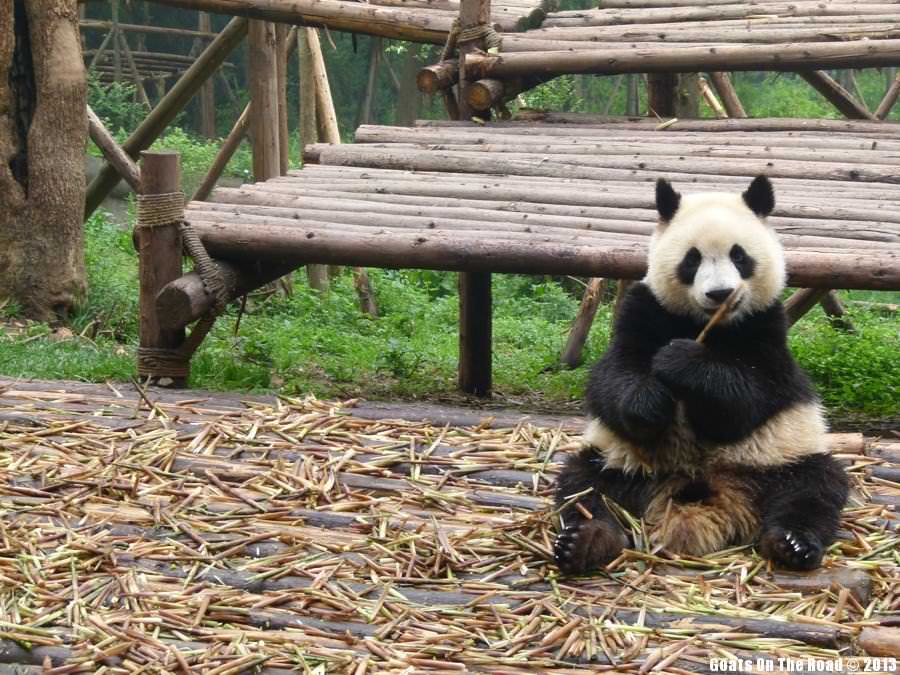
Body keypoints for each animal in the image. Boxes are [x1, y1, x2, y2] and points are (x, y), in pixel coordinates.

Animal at [553, 175, 849, 575]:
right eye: (691, 259)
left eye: (739, 256)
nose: (720, 293)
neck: (707, 324)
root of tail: (705, 488)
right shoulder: (645, 310)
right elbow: (614, 378)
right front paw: (650, 401)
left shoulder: (767, 330)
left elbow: (749, 397)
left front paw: (682, 360)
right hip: (620, 462)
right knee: (585, 486)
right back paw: (586, 541)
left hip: (779, 458)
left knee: (814, 488)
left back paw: (792, 543)